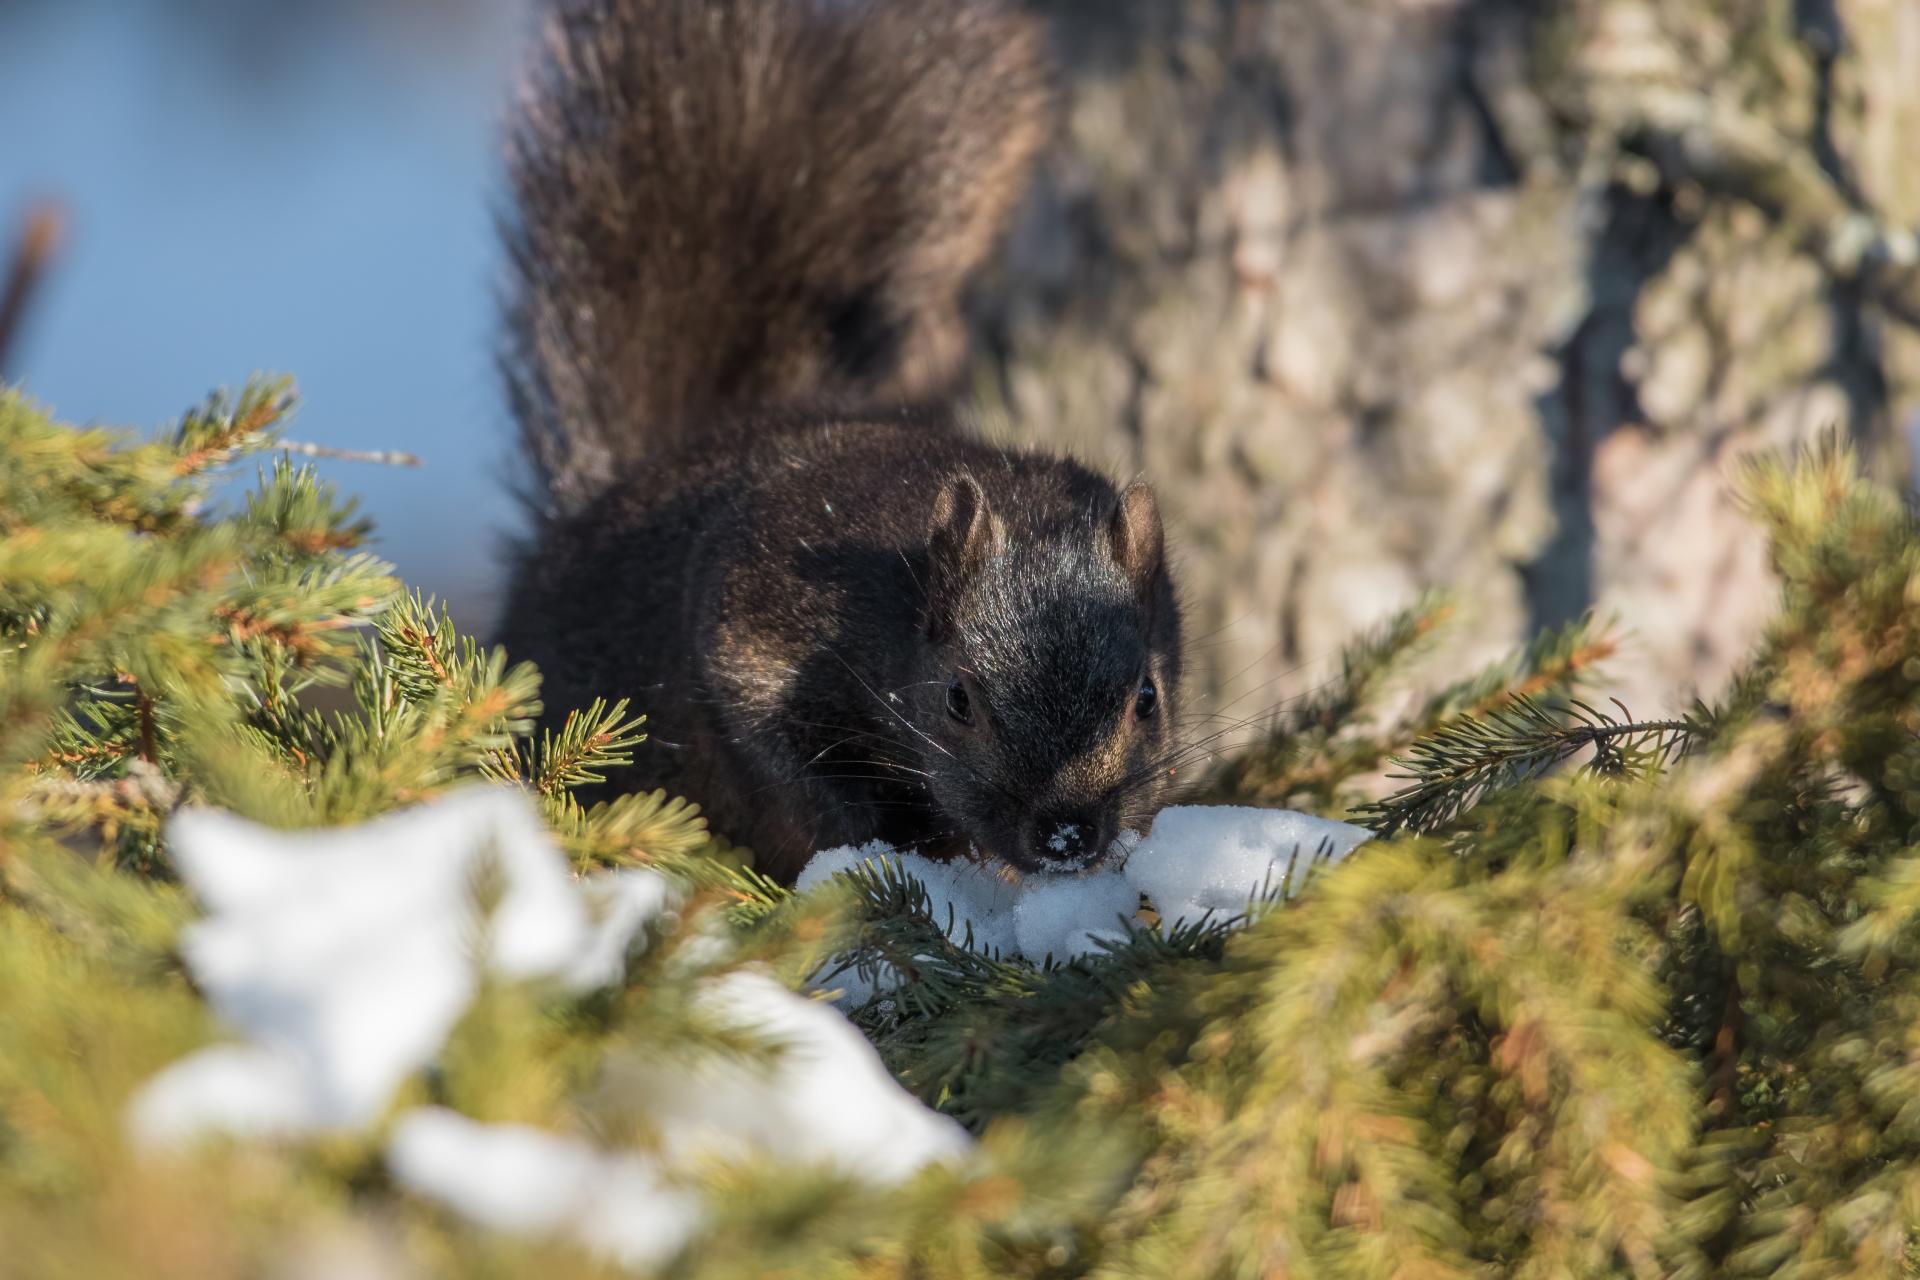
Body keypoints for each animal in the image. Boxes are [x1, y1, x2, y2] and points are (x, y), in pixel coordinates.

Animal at [494, 0, 1186, 884]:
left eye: (1147, 700)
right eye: (958, 700)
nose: (1066, 837)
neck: (900, 596)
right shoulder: (749, 627)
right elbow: (787, 763)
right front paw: (904, 847)